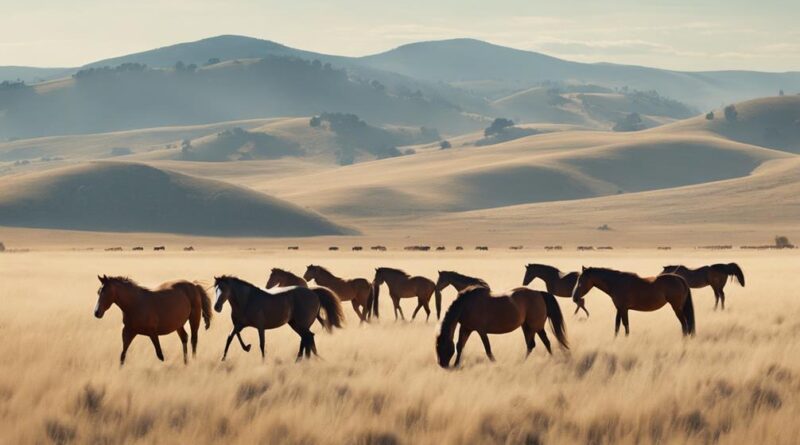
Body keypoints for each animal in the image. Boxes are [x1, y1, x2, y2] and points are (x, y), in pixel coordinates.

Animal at [214, 274, 342, 360]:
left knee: (308, 337)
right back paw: (303, 359)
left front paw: (263, 361)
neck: (247, 300)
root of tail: (313, 293)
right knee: (306, 337)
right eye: (215, 289)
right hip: (295, 324)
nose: (216, 307)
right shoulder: (238, 325)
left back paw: (305, 358)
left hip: (301, 324)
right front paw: (225, 357)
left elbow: (261, 343)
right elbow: (230, 337)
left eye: (224, 289)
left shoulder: (260, 327)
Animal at [438, 284, 568, 368]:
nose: (442, 365)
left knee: (543, 342)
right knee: (533, 344)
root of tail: (539, 293)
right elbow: (459, 346)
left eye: (442, 346)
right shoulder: (466, 328)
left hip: (535, 327)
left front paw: (495, 363)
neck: (466, 304)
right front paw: (456, 365)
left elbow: (488, 349)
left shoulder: (481, 331)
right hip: (527, 327)